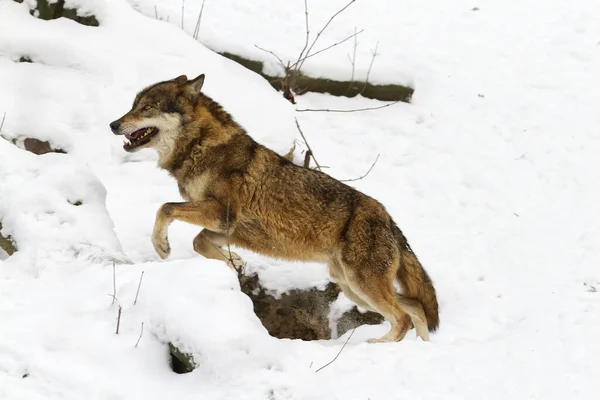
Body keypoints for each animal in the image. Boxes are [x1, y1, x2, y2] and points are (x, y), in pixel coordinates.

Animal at [109, 73, 436, 342]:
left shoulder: (221, 215)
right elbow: (199, 241)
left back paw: (374, 346)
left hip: (361, 285)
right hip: (350, 286)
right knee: (416, 308)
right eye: (133, 105)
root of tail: (388, 218)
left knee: (403, 318)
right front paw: (235, 261)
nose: (113, 124)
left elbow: (165, 208)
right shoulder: (230, 228)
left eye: (147, 108)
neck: (201, 147)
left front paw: (162, 247)